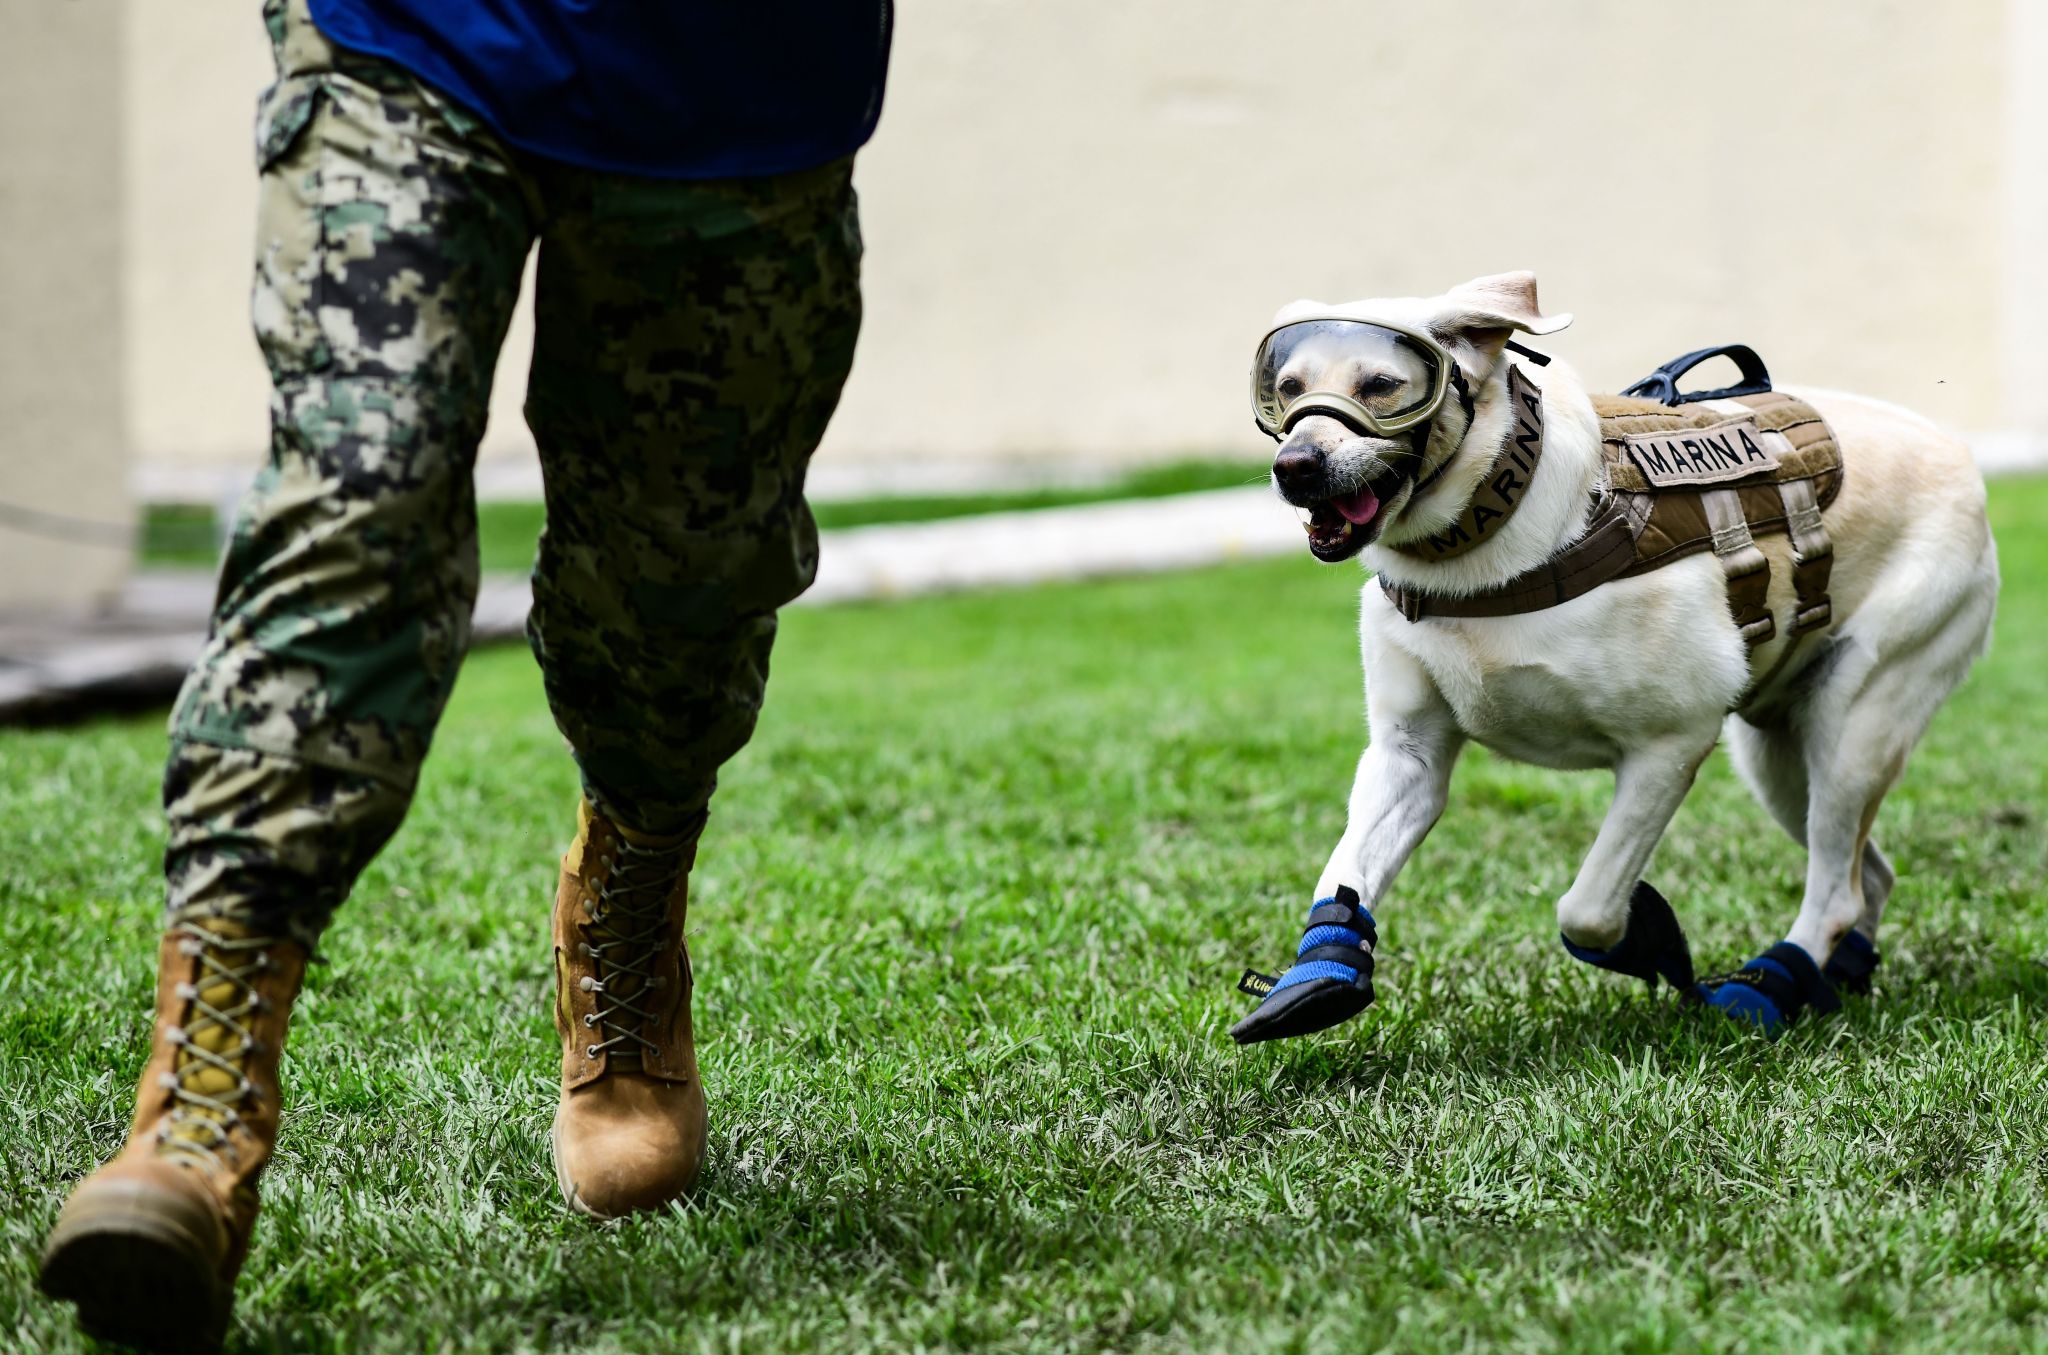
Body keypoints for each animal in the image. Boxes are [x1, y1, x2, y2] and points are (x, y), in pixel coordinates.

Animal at [1228, 270, 1998, 1043]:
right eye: (1287, 388)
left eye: (1383, 384)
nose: (1294, 466)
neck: (1482, 546)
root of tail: (1960, 456)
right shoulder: (1406, 752)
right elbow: (1347, 869)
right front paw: (1320, 972)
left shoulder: (1670, 744)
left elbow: (1589, 909)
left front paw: (1651, 937)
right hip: (1779, 758)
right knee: (1869, 877)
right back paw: (1830, 977)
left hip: (1853, 723)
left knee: (1837, 888)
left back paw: (1773, 982)